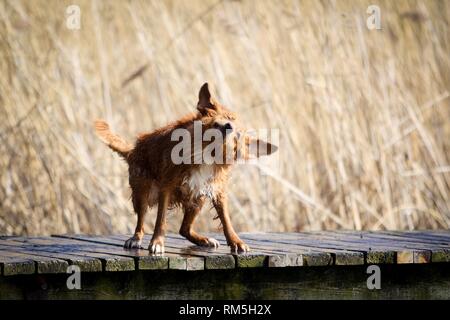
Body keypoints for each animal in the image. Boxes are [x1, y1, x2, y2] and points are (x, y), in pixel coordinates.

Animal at [95, 84, 278, 254]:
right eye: (226, 117)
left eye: (238, 135)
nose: (229, 126)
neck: (205, 152)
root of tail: (133, 150)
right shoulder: (166, 187)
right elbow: (160, 220)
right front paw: (157, 242)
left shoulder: (216, 190)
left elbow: (226, 219)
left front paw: (235, 241)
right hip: (142, 191)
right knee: (142, 220)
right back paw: (136, 238)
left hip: (198, 198)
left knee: (184, 229)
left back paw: (204, 240)